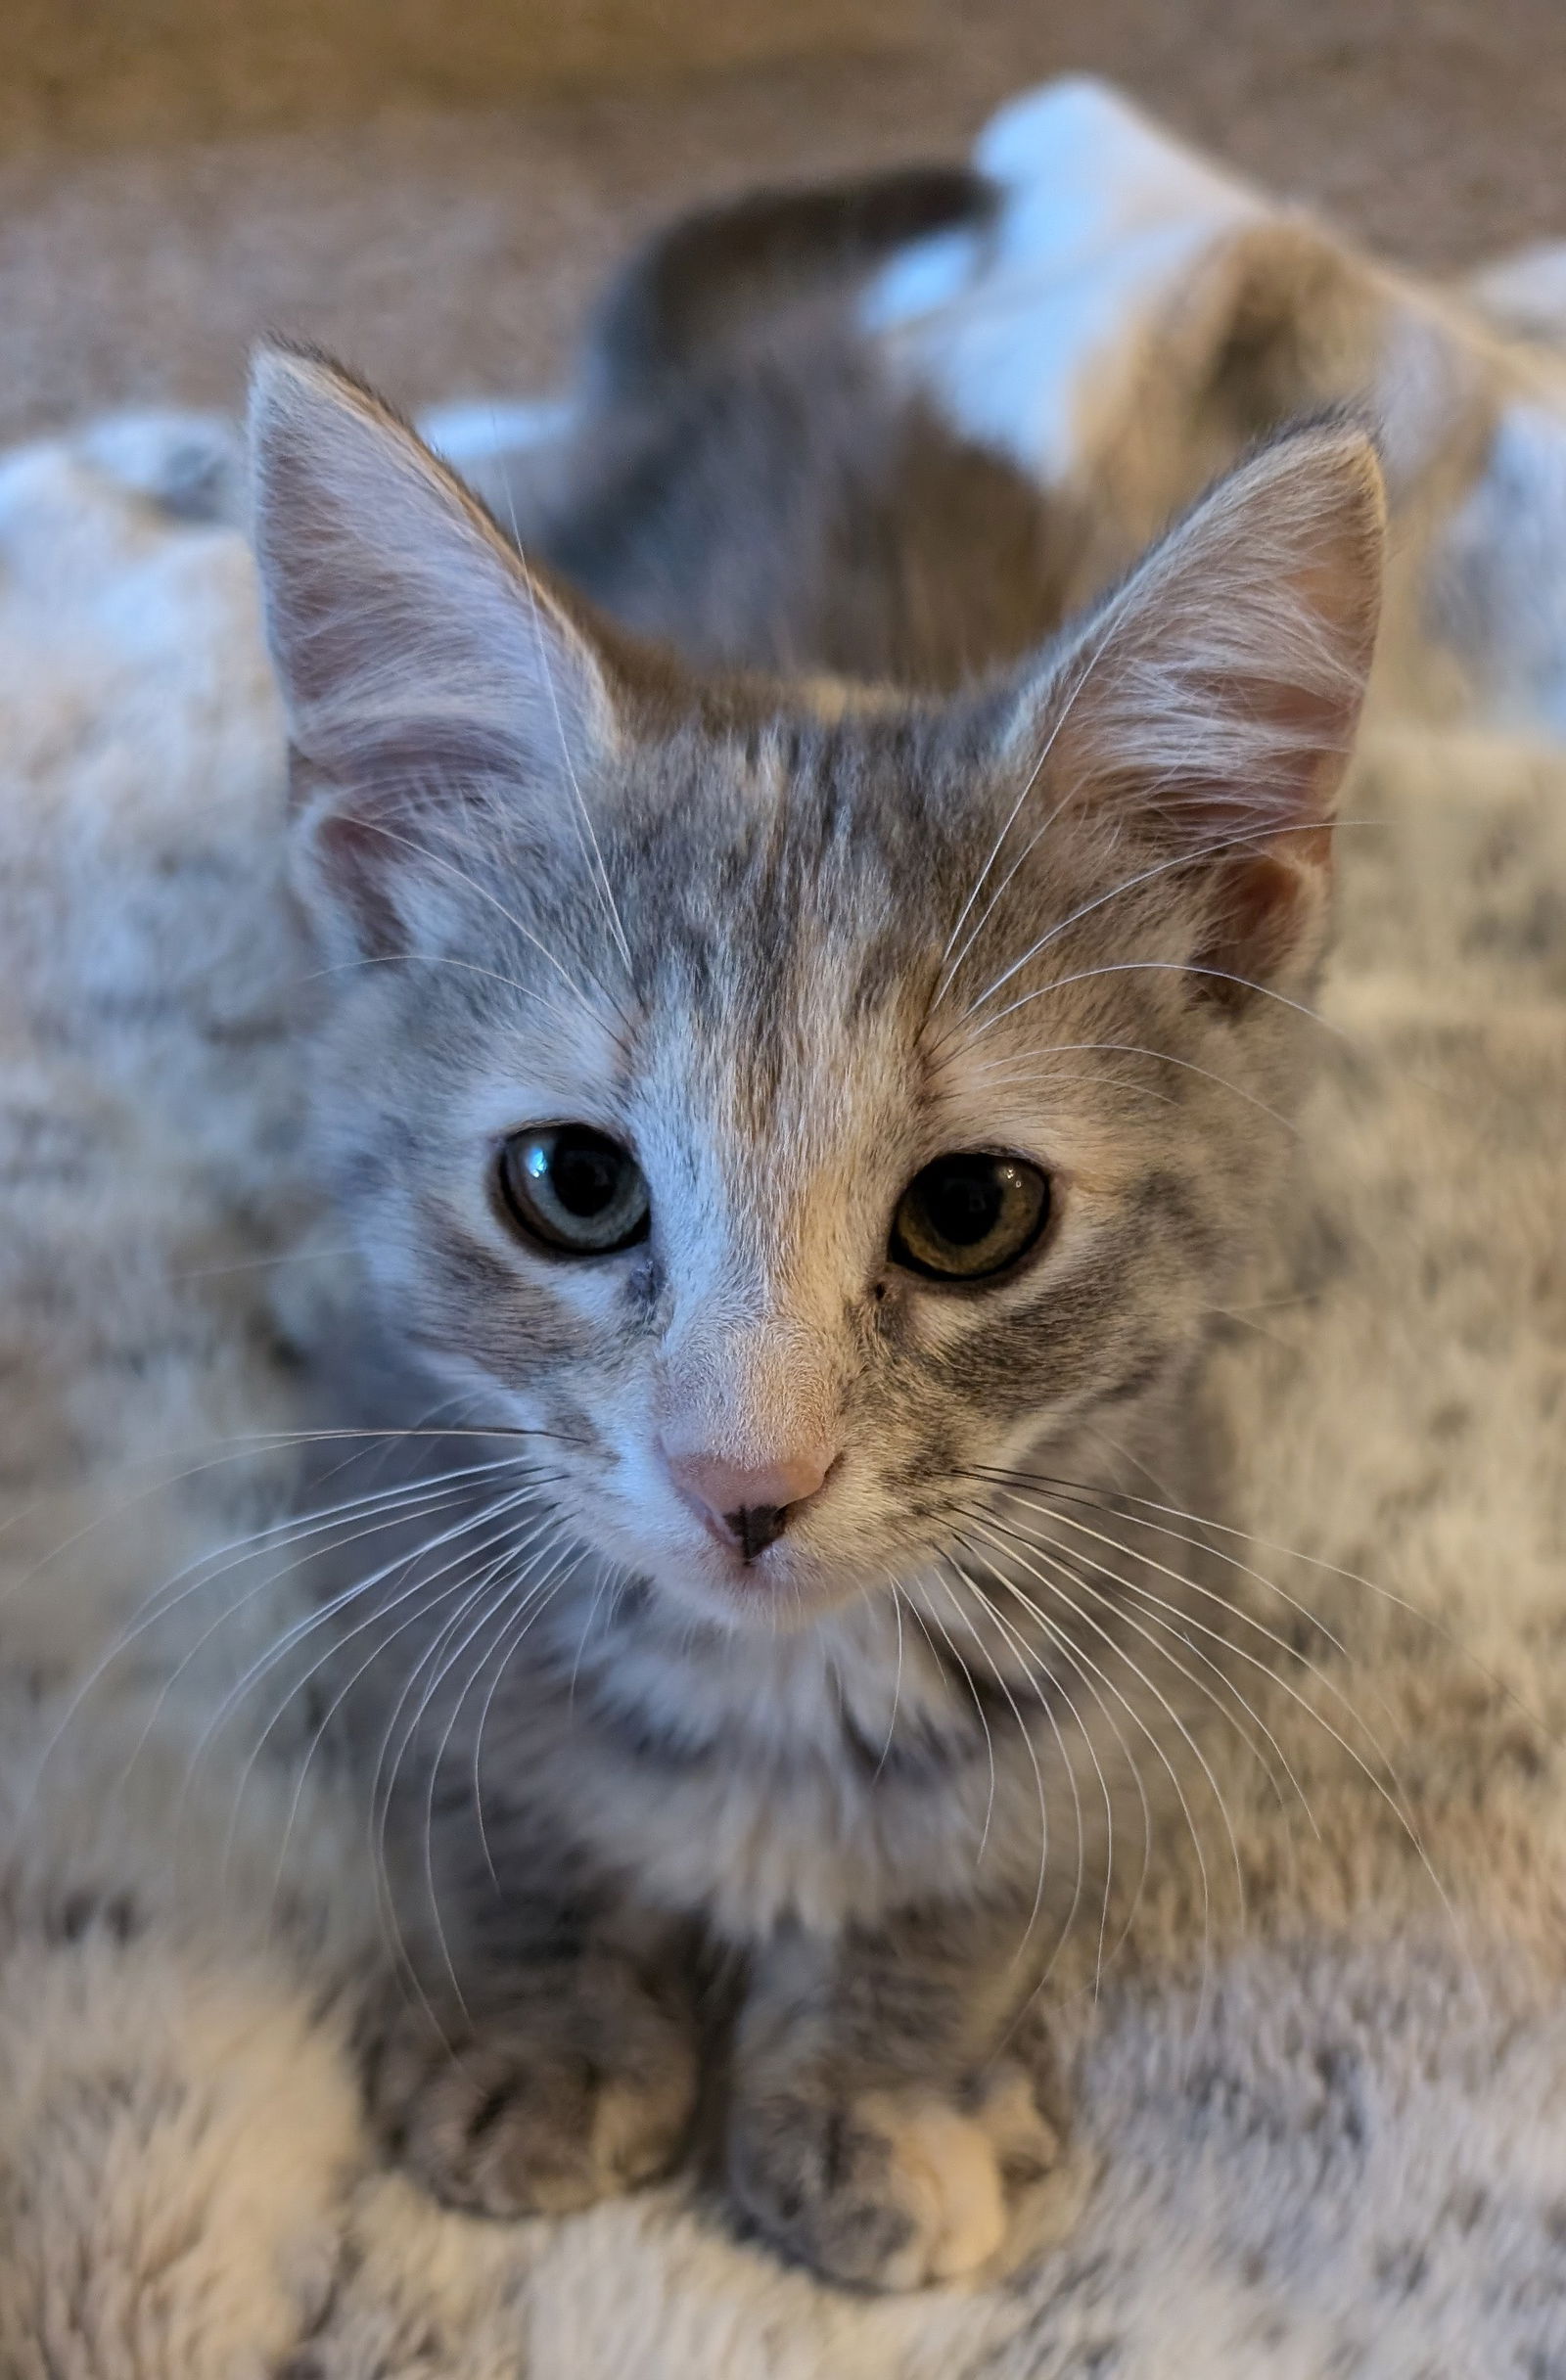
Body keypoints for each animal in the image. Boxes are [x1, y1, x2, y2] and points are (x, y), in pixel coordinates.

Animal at [247, 185, 1380, 2284]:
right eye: (572, 1183)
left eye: (972, 1214)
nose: (741, 1482)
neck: (767, 1707)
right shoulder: (372, 1534)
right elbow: (484, 1796)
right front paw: (545, 2024)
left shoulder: (1171, 1583)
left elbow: (988, 1870)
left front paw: (881, 2079)